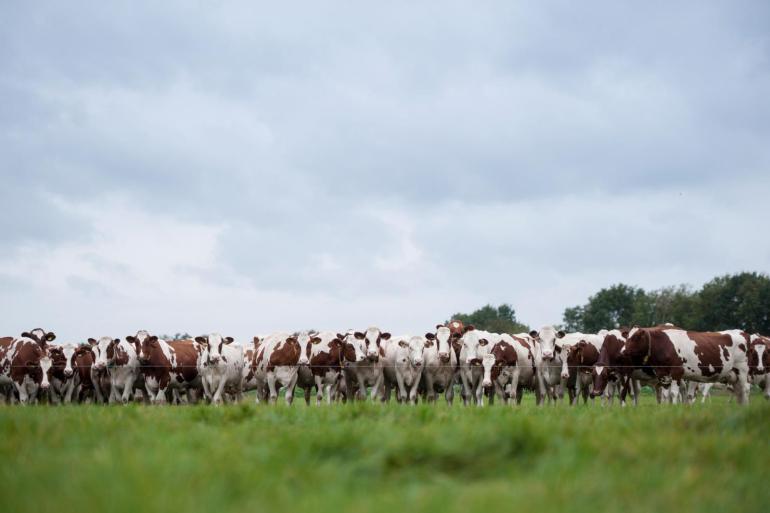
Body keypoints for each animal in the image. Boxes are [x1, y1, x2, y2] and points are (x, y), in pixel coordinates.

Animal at [608, 328, 748, 404]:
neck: (665, 345)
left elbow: (674, 393)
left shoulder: (677, 372)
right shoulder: (663, 375)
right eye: (627, 337)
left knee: (745, 389)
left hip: (742, 371)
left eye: (636, 337)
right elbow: (666, 394)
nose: (622, 352)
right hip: (733, 377)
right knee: (739, 392)